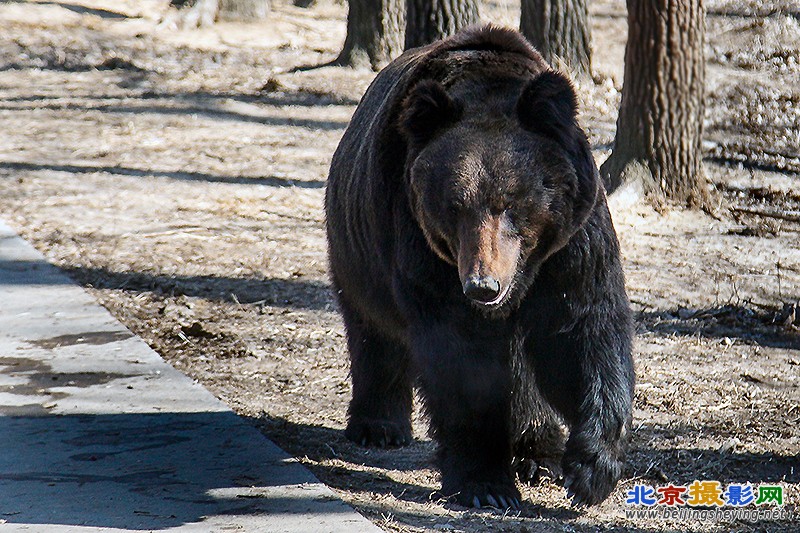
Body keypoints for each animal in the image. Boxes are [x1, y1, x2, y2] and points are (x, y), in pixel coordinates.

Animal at [324, 25, 632, 508]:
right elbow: (460, 355)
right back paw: (379, 425)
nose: (482, 286)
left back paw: (537, 450)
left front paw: (589, 469)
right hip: (359, 246)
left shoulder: (571, 243)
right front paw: (485, 484)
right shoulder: (421, 246)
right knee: (373, 329)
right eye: (455, 205)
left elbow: (582, 329)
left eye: (511, 203)